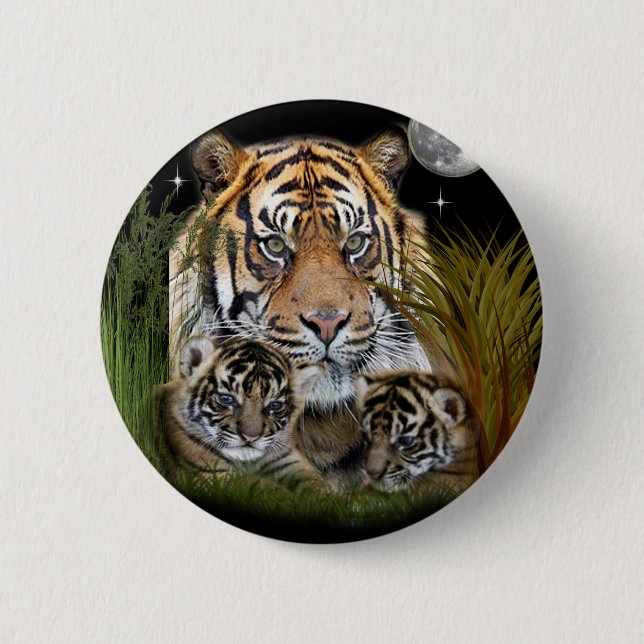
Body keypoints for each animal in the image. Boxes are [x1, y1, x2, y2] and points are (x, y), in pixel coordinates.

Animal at [155, 334, 325, 486]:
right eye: (226, 399)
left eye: (275, 405)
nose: (250, 438)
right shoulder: (210, 475)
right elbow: (264, 487)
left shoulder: (287, 459)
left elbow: (317, 486)